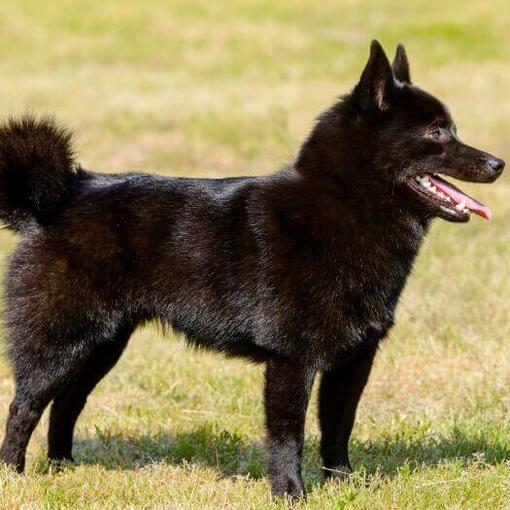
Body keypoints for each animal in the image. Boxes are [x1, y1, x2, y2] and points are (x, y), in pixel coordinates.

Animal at [0, 40, 504, 498]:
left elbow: (338, 430)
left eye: (452, 129)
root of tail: (58, 196)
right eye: (436, 133)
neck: (342, 208)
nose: (498, 162)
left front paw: (343, 487)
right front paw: (290, 494)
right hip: (60, 343)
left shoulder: (353, 360)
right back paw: (14, 475)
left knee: (66, 403)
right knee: (24, 406)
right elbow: (288, 436)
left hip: (102, 344)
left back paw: (63, 469)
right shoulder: (291, 360)